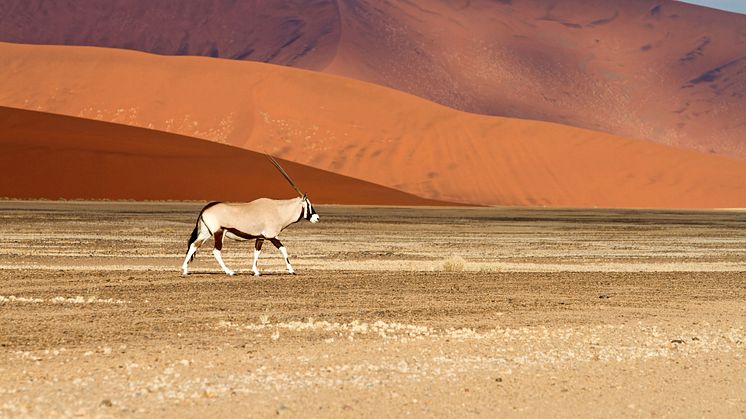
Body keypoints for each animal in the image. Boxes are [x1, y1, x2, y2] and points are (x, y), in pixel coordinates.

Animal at [183, 156, 320, 278]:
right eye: (309, 204)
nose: (317, 218)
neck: (278, 210)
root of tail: (207, 208)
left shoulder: (260, 237)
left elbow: (256, 253)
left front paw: (256, 271)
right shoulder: (271, 236)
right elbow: (283, 249)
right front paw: (292, 270)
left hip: (206, 232)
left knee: (194, 245)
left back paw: (185, 270)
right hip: (218, 232)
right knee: (216, 251)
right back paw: (230, 272)